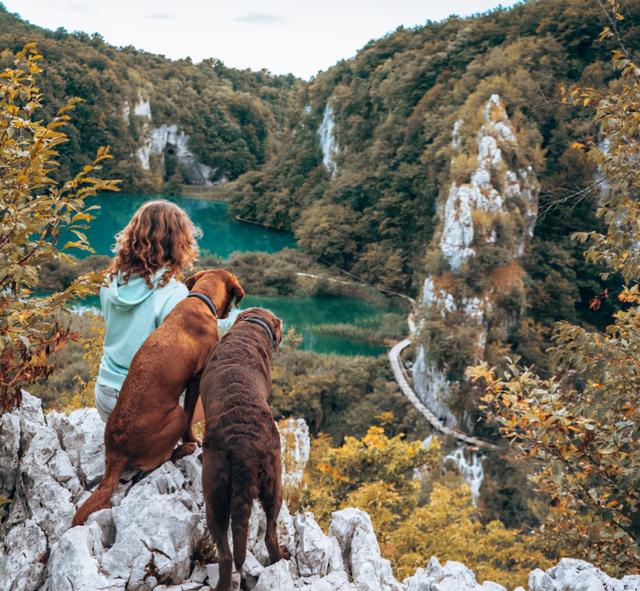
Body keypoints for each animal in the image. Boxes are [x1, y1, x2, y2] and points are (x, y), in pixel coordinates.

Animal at [72, 270, 245, 528]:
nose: (227, 314)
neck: (200, 299)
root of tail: (116, 455)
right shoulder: (196, 378)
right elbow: (191, 416)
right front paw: (193, 440)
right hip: (176, 415)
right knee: (160, 460)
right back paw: (185, 448)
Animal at [201, 308, 284, 588]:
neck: (251, 329)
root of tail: (243, 446)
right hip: (274, 483)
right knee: (269, 534)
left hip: (214, 492)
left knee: (226, 554)